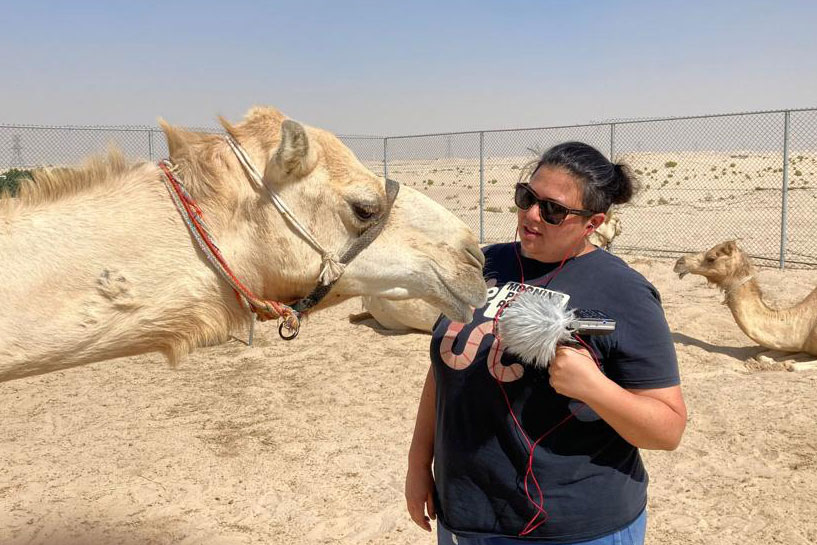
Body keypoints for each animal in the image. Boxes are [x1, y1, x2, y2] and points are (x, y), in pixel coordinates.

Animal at [672, 240, 812, 368]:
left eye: (711, 258)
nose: (679, 262)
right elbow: (761, 355)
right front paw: (777, 361)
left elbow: (794, 366)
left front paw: (788, 362)